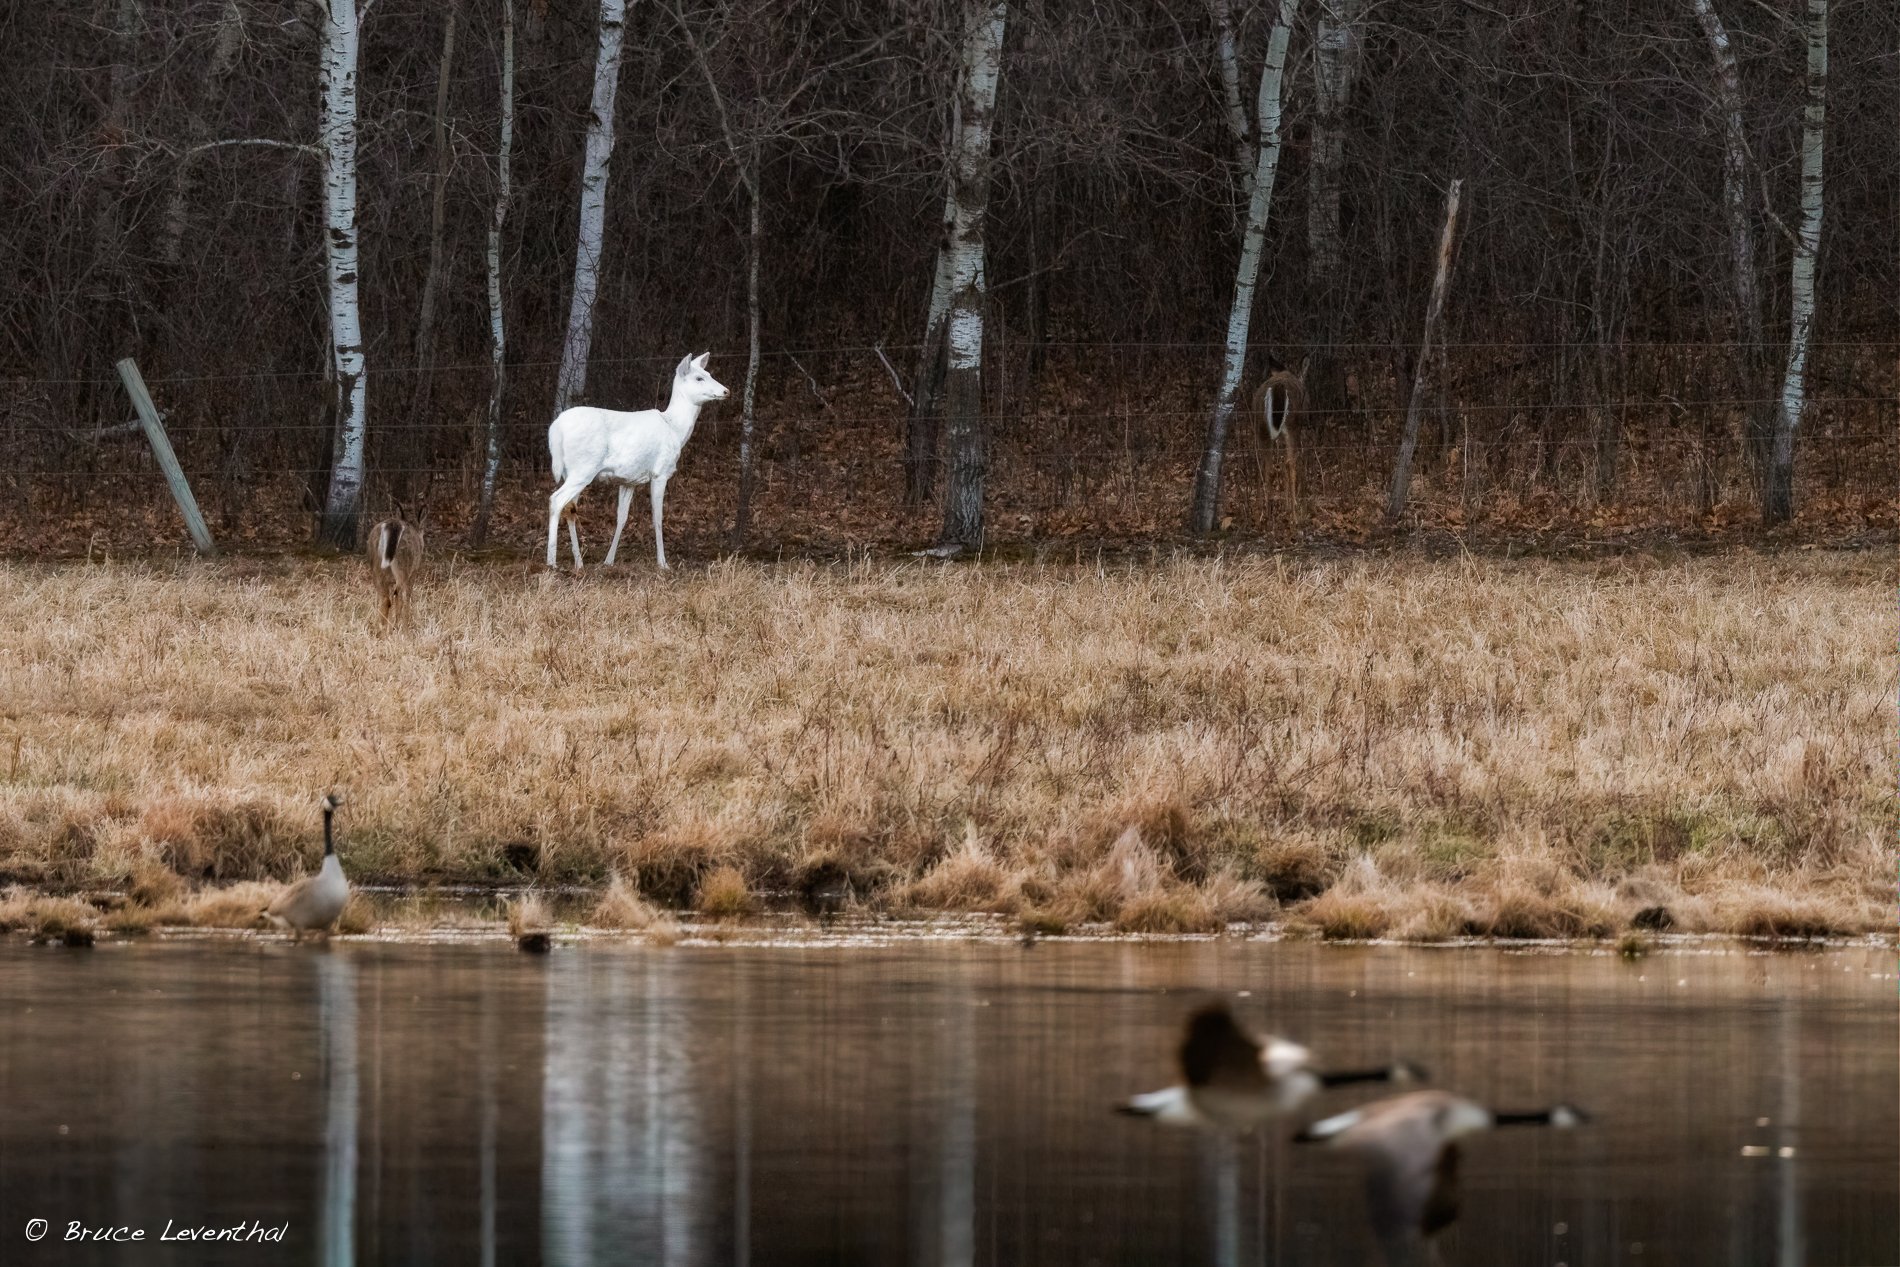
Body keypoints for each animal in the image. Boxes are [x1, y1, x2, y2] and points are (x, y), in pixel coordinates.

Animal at [546, 352, 728, 572]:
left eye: (709, 374)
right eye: (699, 378)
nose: (726, 391)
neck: (675, 429)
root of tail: (556, 429)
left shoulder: (628, 480)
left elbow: (622, 517)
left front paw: (609, 561)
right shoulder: (660, 472)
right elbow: (657, 517)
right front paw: (663, 563)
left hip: (571, 471)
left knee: (570, 508)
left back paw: (579, 562)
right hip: (584, 467)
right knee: (556, 500)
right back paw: (551, 562)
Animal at [1249, 356, 1307, 527]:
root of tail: (1278, 387)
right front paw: (1289, 506)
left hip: (1260, 425)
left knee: (1263, 464)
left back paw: (1262, 513)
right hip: (1292, 425)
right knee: (1289, 463)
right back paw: (1294, 517)